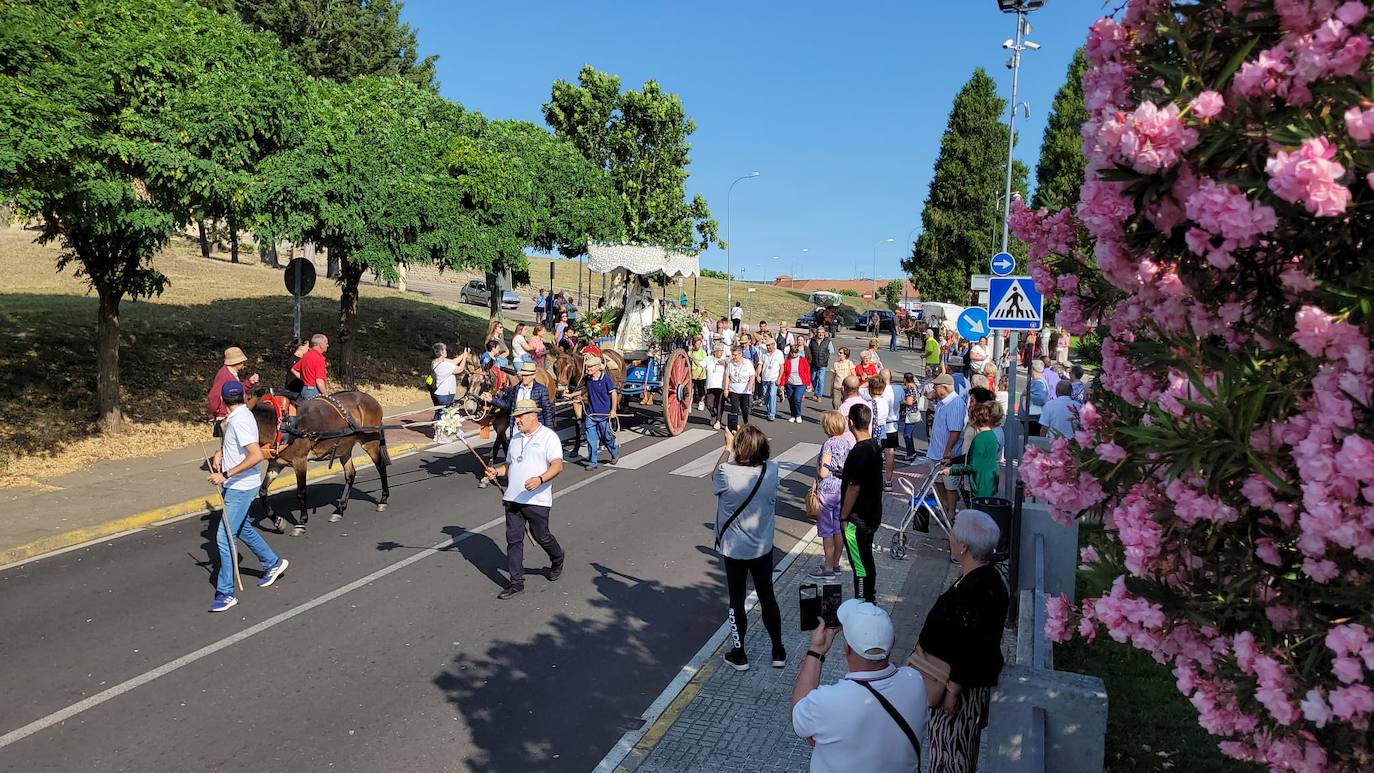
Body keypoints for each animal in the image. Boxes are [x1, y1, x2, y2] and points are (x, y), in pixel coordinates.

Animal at [251, 392, 390, 538]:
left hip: (369, 442)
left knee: (381, 466)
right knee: (350, 474)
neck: (279, 425)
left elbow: (301, 492)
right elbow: (262, 491)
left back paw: (383, 500)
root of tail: (370, 398)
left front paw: (301, 522)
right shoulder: (276, 465)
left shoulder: (300, 461)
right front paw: (277, 521)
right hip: (344, 447)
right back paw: (339, 510)